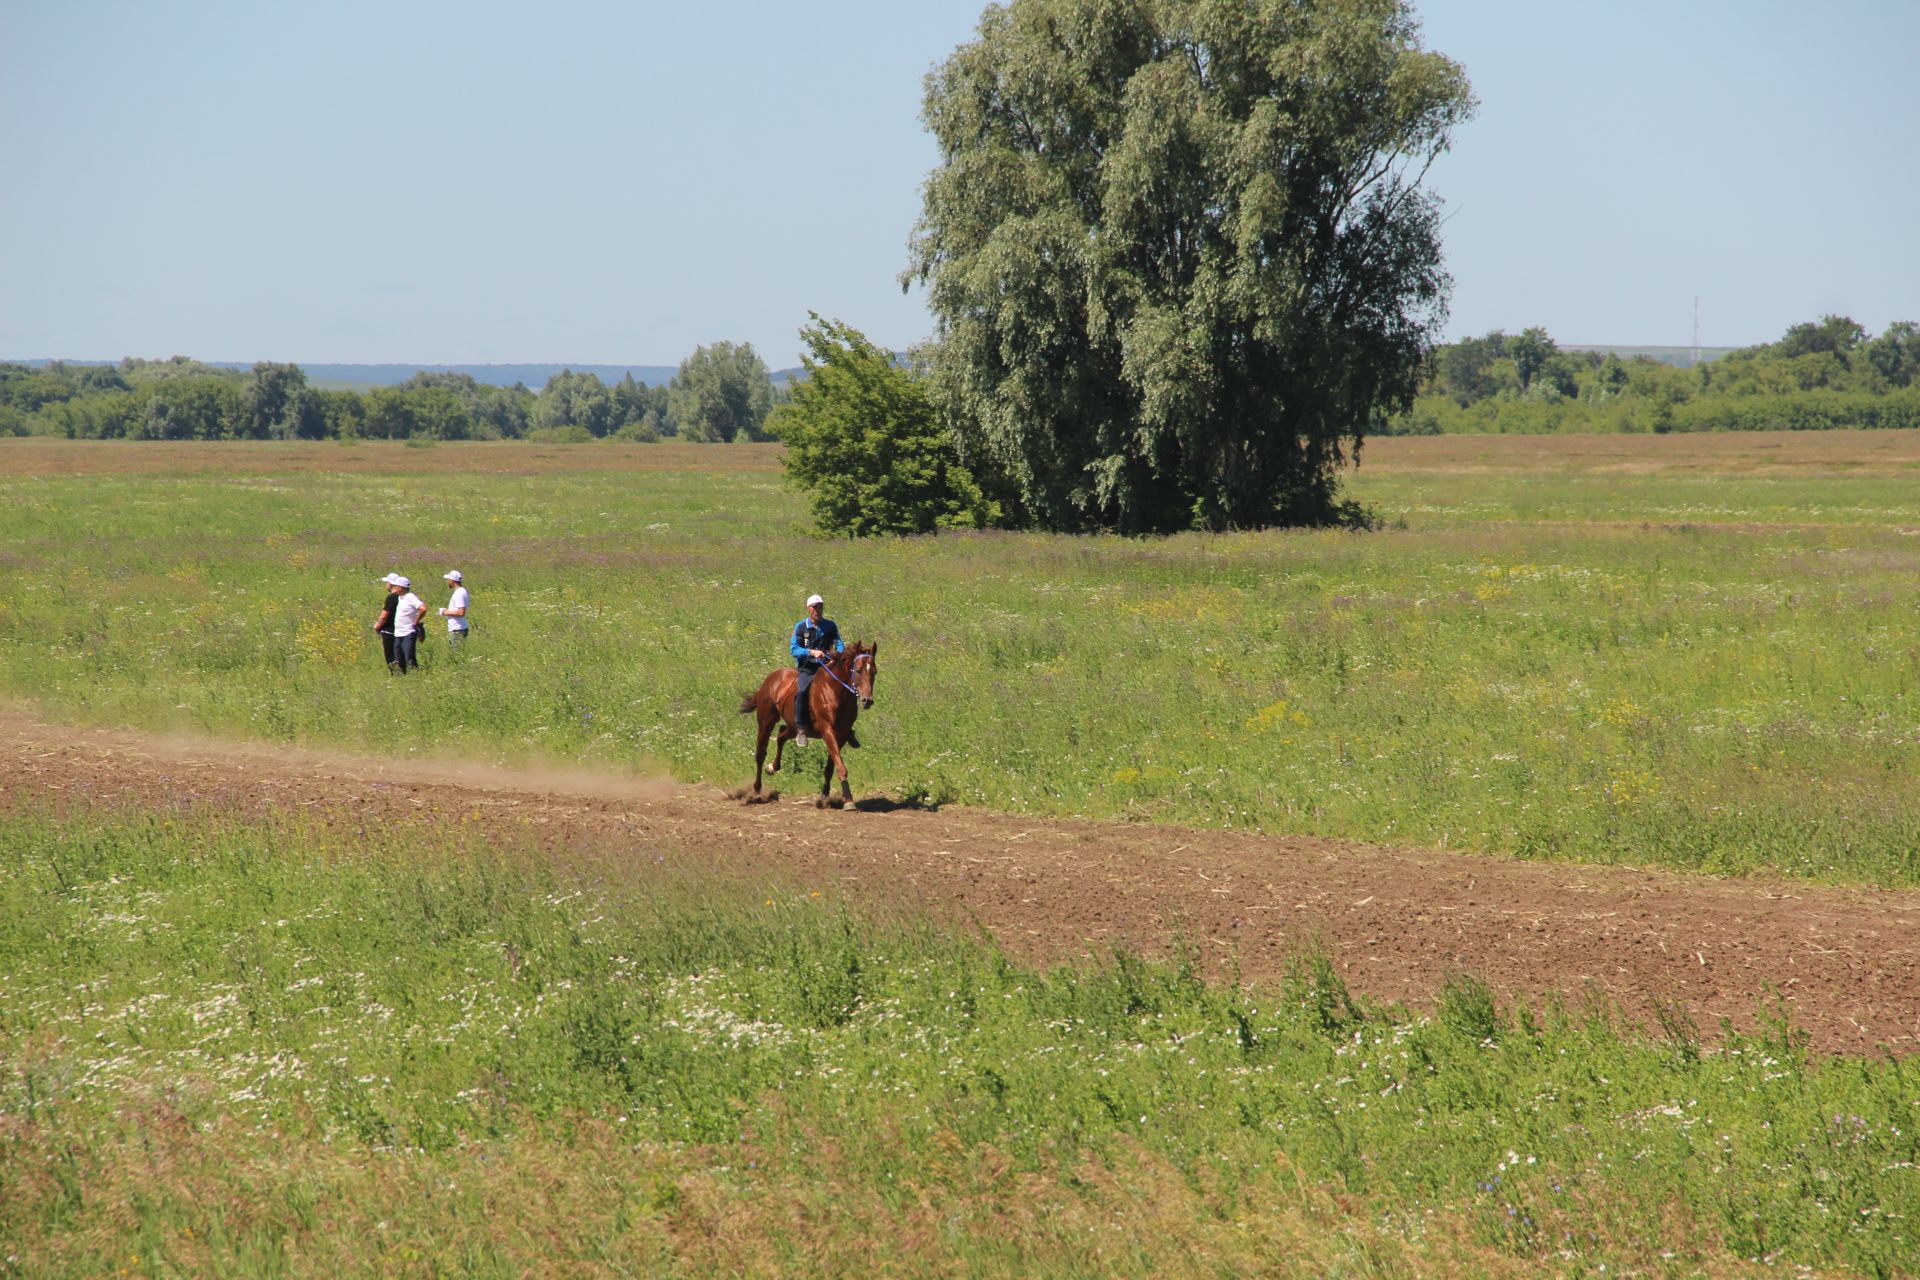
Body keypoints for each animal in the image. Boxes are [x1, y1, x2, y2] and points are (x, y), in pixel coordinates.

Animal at [737, 640, 879, 809]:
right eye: (857, 670)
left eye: (874, 672)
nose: (867, 700)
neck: (835, 692)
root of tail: (771, 678)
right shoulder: (828, 732)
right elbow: (840, 766)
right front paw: (849, 800)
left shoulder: (842, 736)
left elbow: (830, 768)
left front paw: (824, 796)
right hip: (766, 722)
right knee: (760, 754)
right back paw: (757, 789)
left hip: (793, 726)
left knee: (781, 735)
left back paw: (773, 767)